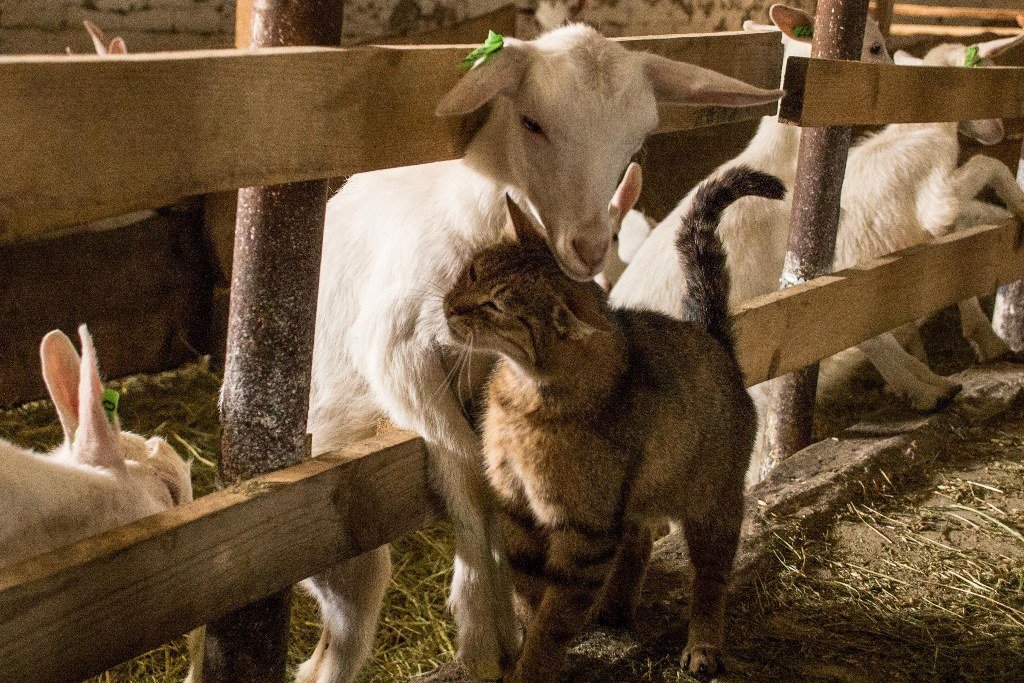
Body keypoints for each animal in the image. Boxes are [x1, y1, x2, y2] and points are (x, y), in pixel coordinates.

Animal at [442, 166, 786, 681]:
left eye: (496, 307)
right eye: (472, 272)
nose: (449, 305)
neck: (524, 395)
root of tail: (711, 335)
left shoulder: (585, 531)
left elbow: (553, 618)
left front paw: (533, 667)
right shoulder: (518, 512)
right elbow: (529, 598)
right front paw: (525, 647)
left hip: (713, 504)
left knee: (710, 578)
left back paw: (703, 643)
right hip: (634, 494)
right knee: (639, 538)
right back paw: (615, 606)